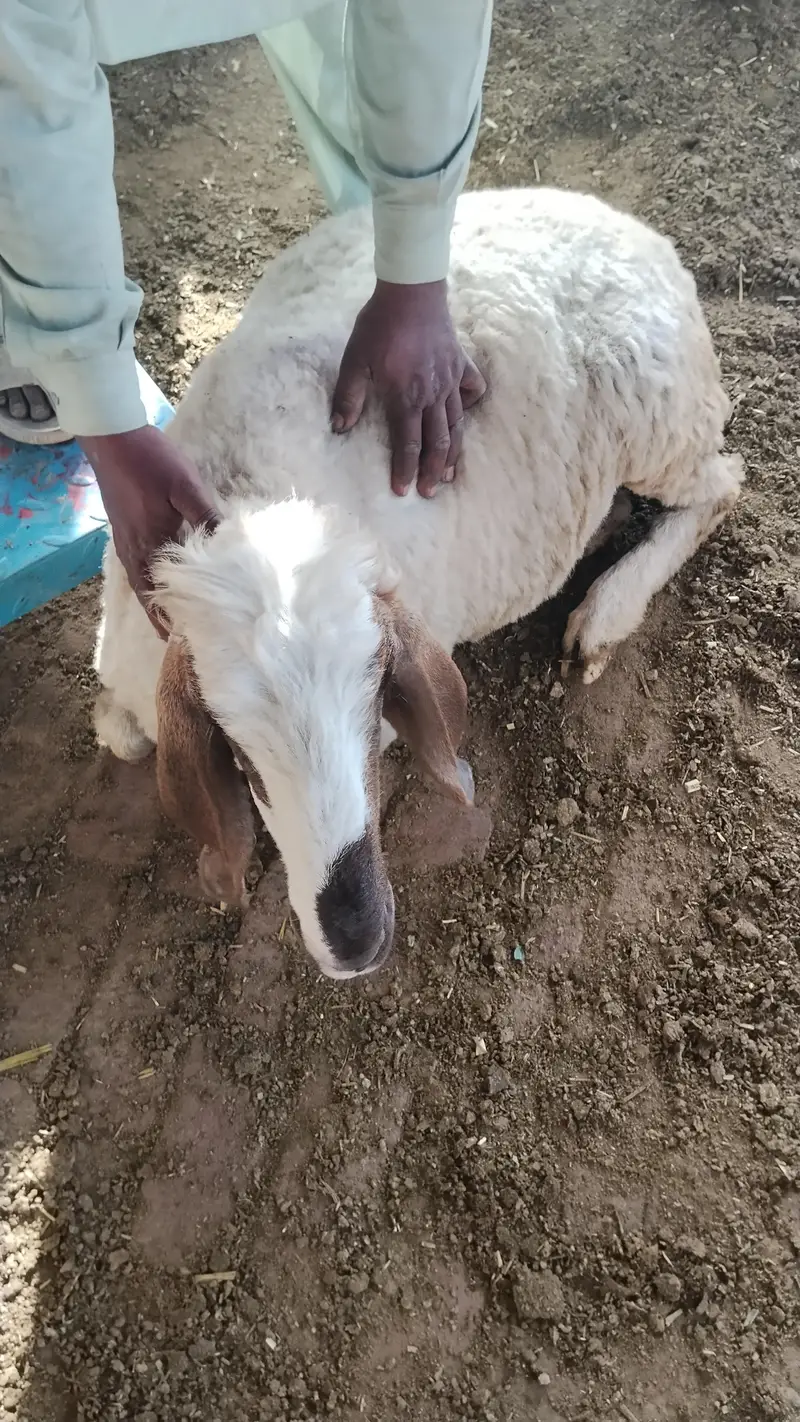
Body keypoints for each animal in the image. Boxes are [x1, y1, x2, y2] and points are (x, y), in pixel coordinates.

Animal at [94, 186, 744, 980]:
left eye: (377, 698)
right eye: (239, 757)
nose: (356, 937)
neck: (249, 502)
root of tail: (642, 235)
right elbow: (120, 735)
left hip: (660, 419)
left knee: (722, 486)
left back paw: (604, 614)